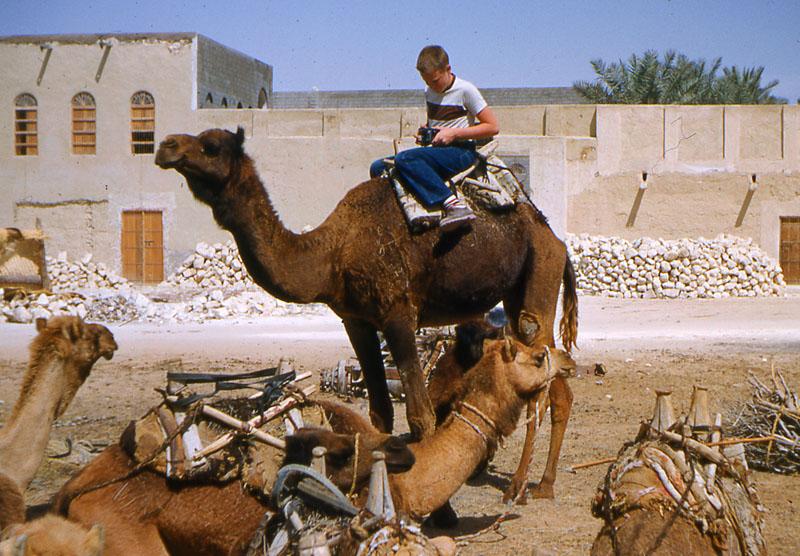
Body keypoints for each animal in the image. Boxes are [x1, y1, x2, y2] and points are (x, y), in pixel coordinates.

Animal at [153, 128, 580, 502]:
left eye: (211, 146)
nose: (166, 145)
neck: (332, 254)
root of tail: (556, 239)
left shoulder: (398, 314)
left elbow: (420, 415)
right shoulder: (355, 320)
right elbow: (379, 413)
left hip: (537, 282)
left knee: (541, 383)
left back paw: (518, 486)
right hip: (518, 290)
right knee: (558, 383)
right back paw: (545, 484)